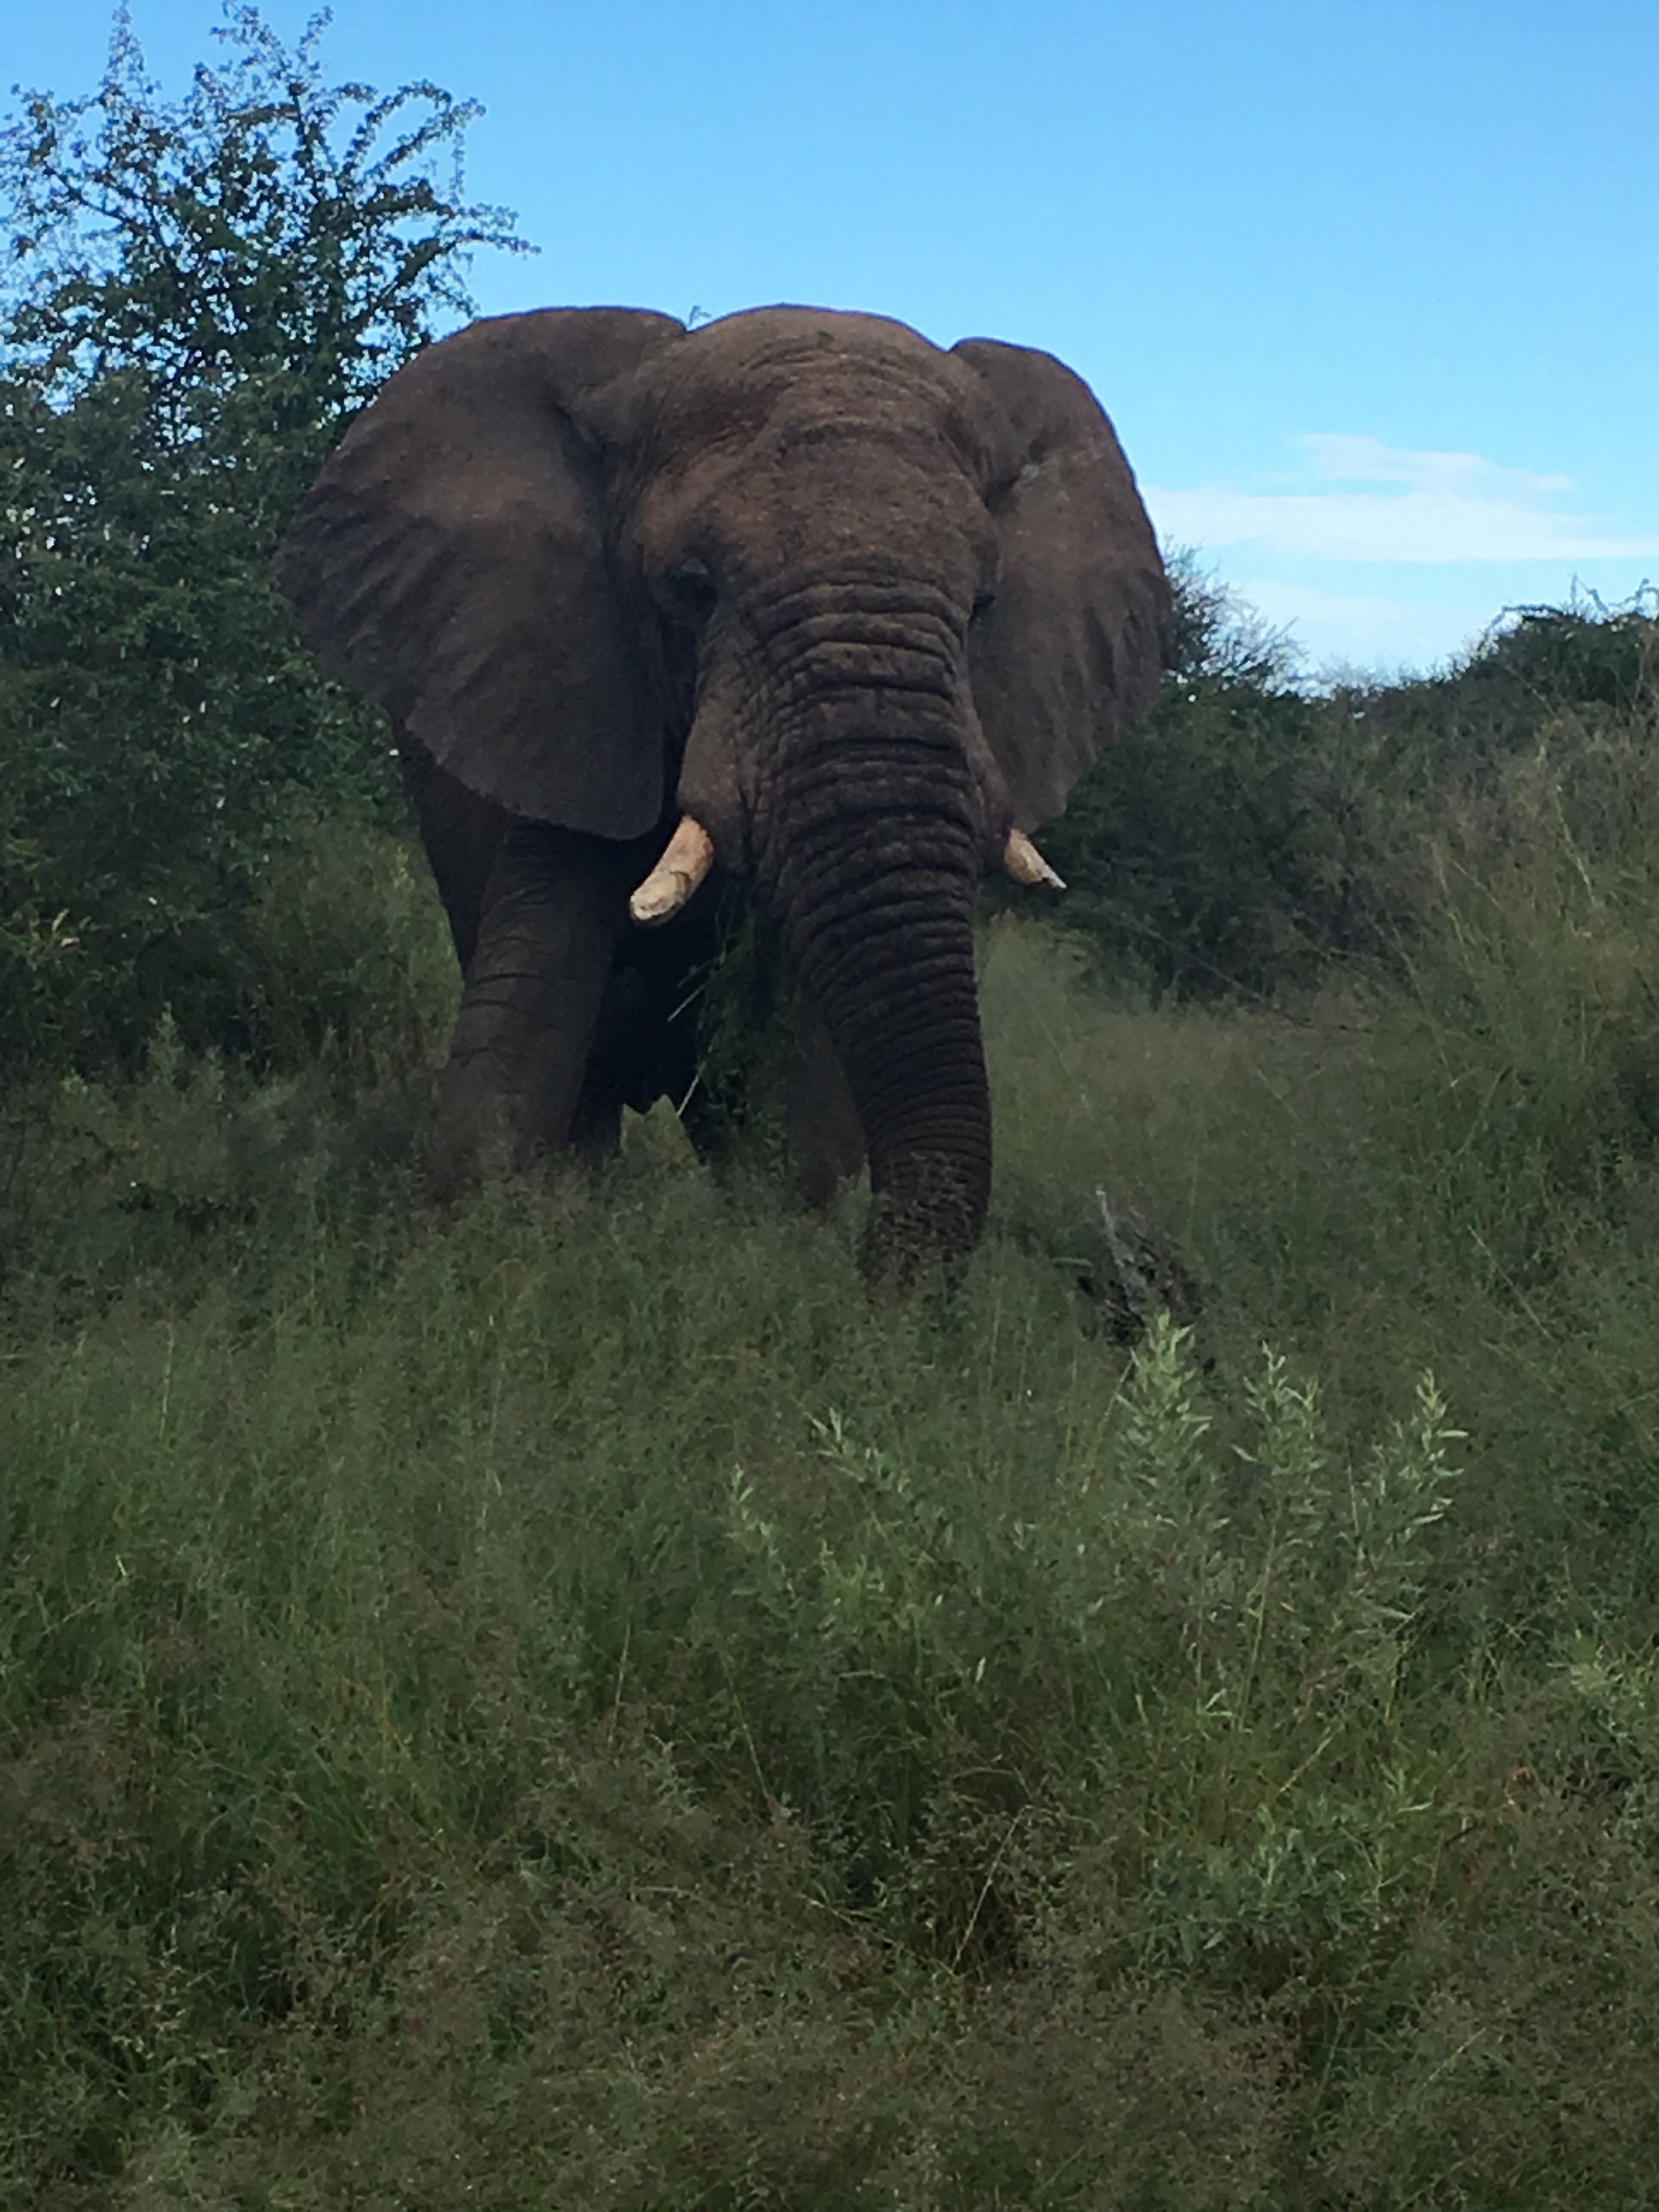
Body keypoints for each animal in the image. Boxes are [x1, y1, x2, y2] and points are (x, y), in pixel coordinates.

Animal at [276, 305, 1170, 1278]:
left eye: (983, 605)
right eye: (692, 589)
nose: (882, 1286)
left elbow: (797, 1114)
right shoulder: (570, 701)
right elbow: (517, 1051)